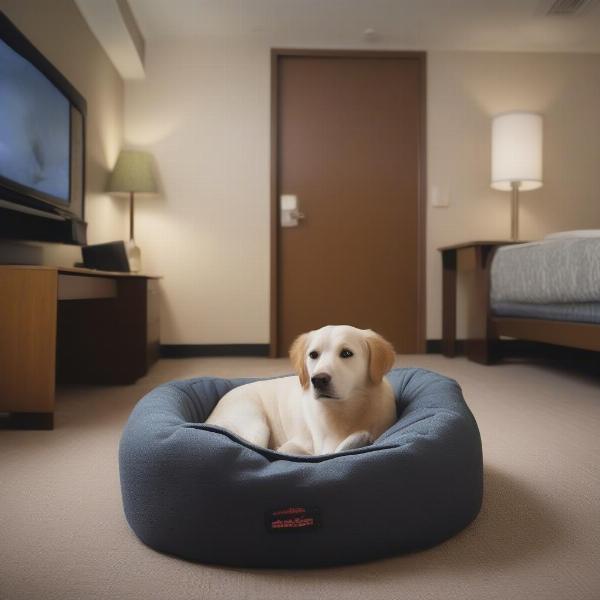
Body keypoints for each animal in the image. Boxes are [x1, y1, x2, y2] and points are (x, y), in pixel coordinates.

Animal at [206, 326, 398, 458]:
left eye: (346, 353)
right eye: (313, 355)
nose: (318, 379)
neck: (346, 410)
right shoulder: (305, 446)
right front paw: (359, 438)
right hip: (255, 425)